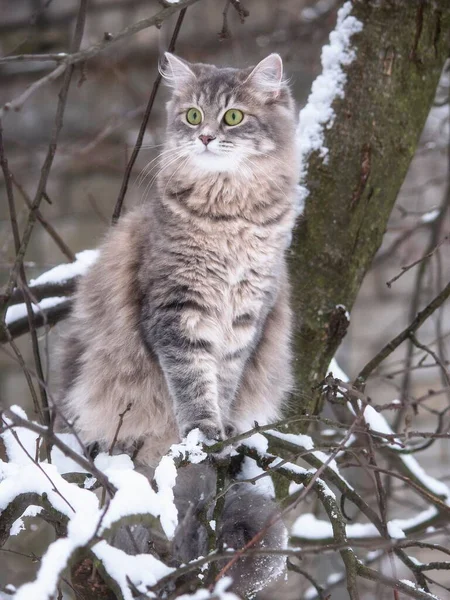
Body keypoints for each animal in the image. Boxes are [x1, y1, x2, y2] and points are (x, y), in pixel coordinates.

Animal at [56, 54, 298, 596]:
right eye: (192, 115)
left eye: (232, 117)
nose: (206, 136)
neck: (230, 215)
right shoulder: (177, 311)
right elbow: (191, 382)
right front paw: (202, 433)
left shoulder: (246, 318)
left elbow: (221, 383)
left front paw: (220, 431)